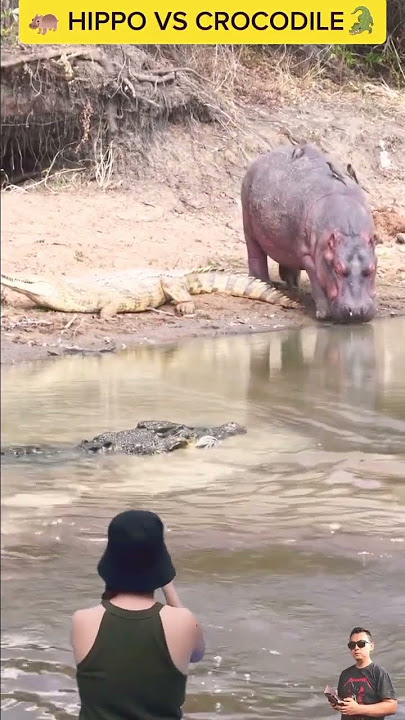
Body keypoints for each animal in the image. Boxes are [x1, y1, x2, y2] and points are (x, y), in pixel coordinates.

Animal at [241, 144, 377, 323]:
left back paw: (293, 286)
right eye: (337, 268)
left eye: (371, 268)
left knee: (288, 263)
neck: (350, 234)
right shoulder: (309, 256)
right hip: (248, 226)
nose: (357, 311)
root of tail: (260, 158)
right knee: (255, 254)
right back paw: (263, 282)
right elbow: (317, 283)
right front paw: (323, 315)